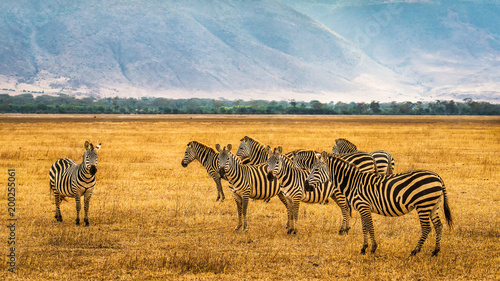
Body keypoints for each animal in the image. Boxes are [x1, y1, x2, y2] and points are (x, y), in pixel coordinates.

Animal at [304, 151, 454, 256]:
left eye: (316, 170)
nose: (305, 185)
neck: (353, 182)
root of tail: (437, 177)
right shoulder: (362, 208)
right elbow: (364, 227)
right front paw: (364, 248)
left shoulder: (364, 206)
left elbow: (370, 227)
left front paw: (373, 248)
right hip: (433, 205)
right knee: (439, 226)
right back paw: (435, 251)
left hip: (423, 205)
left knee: (427, 228)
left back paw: (415, 251)